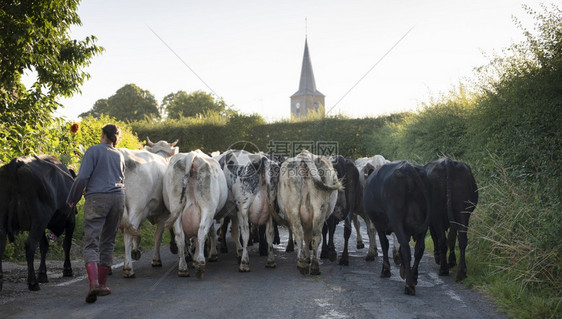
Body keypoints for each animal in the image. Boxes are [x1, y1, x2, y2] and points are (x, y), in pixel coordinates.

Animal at [0, 156, 76, 292]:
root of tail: (16, 163)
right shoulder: (70, 220)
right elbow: (66, 244)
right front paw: (67, 269)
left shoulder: (41, 225)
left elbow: (44, 246)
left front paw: (42, 274)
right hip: (40, 217)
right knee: (30, 245)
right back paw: (32, 282)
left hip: (4, 220)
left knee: (1, 245)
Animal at [119, 139, 178, 278]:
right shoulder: (164, 213)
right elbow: (158, 236)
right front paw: (156, 259)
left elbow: (138, 232)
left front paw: (136, 251)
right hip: (136, 207)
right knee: (128, 234)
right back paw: (128, 268)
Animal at [364, 161, 428, 296]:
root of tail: (407, 167)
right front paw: (403, 269)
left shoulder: (379, 224)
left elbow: (385, 244)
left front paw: (385, 270)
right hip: (423, 226)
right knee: (419, 249)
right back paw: (413, 277)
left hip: (396, 219)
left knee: (406, 248)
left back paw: (409, 285)